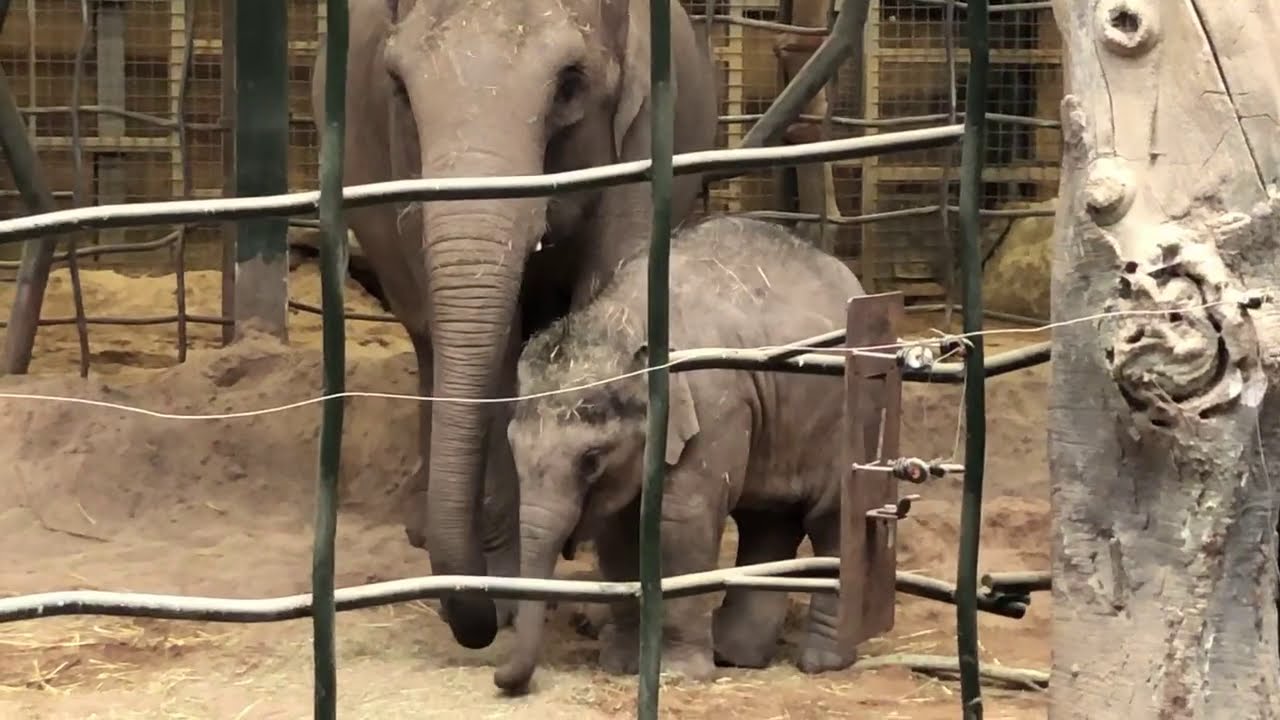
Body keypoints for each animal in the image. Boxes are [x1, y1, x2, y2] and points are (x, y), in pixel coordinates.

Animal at [309, 0, 721, 650]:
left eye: (571, 83)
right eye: (398, 86)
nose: (469, 622)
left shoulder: (647, 129)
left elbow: (609, 280)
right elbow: (491, 347)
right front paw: (505, 599)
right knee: (425, 335)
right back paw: (422, 524)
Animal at [492, 216, 867, 694]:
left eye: (591, 459)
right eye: (512, 447)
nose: (501, 678)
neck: (625, 319)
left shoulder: (714, 408)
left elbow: (680, 524)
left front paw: (679, 672)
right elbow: (618, 533)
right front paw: (622, 663)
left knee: (831, 521)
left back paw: (820, 663)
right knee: (767, 522)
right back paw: (737, 655)